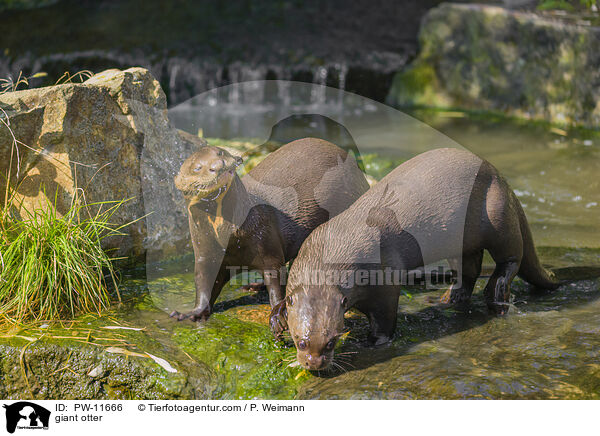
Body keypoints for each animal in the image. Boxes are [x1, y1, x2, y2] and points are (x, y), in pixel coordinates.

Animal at [166, 138, 368, 326]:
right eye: (197, 168)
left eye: (220, 153)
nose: (218, 166)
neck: (228, 237)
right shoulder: (205, 251)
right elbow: (204, 284)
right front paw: (192, 313)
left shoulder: (267, 242)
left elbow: (276, 281)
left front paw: (278, 314)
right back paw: (255, 285)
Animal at [284, 148, 560, 370]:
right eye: (300, 341)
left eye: (332, 341)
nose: (313, 364)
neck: (340, 241)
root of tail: (502, 179)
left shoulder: (385, 277)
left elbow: (385, 315)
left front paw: (374, 341)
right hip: (462, 241)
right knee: (468, 269)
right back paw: (449, 299)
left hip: (498, 216)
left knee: (511, 258)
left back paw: (496, 296)